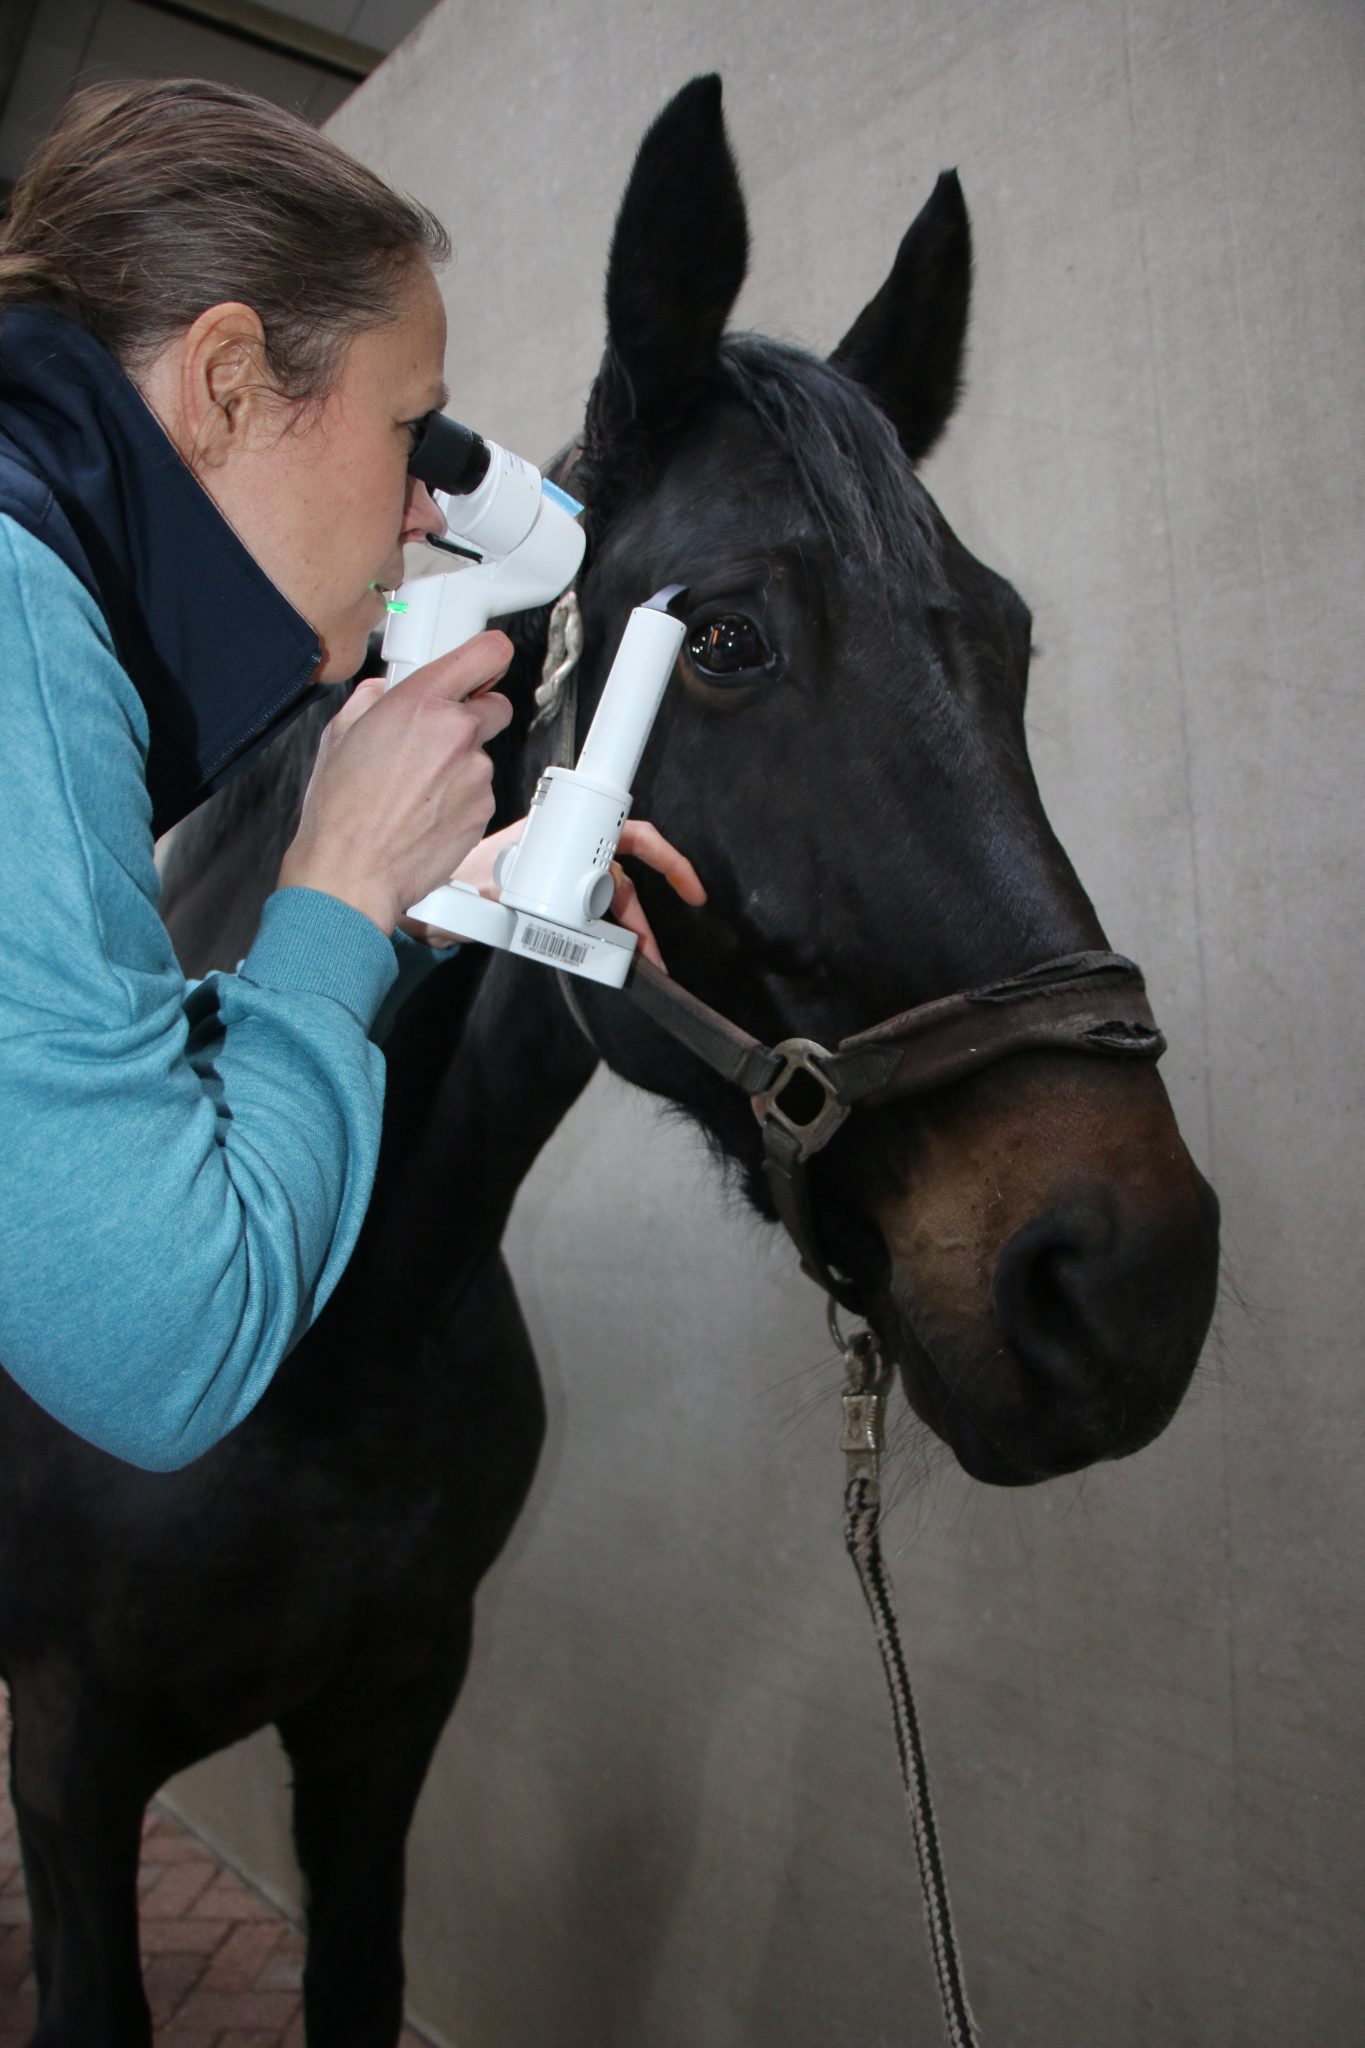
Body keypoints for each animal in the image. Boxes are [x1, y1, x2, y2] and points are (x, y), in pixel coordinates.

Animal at [0, 74, 1219, 2048]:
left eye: (1013, 638)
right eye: (721, 637)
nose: (1125, 1280)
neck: (309, 1343)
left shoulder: (390, 1712)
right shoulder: (72, 1750)